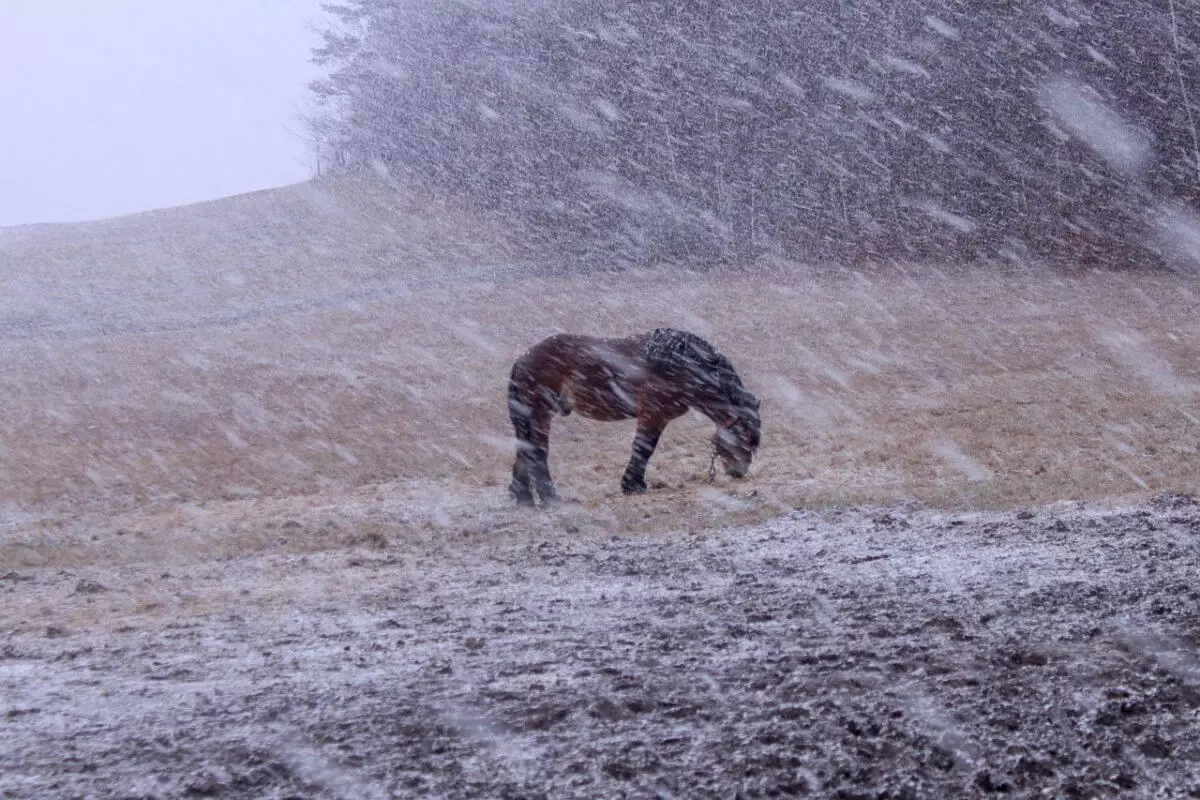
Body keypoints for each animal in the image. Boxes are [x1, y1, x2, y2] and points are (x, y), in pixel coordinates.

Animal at [506, 326, 758, 503]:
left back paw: (523, 497)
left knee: (525, 450)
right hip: (541, 414)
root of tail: (523, 359)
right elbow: (644, 448)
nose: (739, 472)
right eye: (745, 437)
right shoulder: (653, 414)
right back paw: (550, 497)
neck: (680, 364)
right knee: (537, 452)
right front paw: (633, 486)